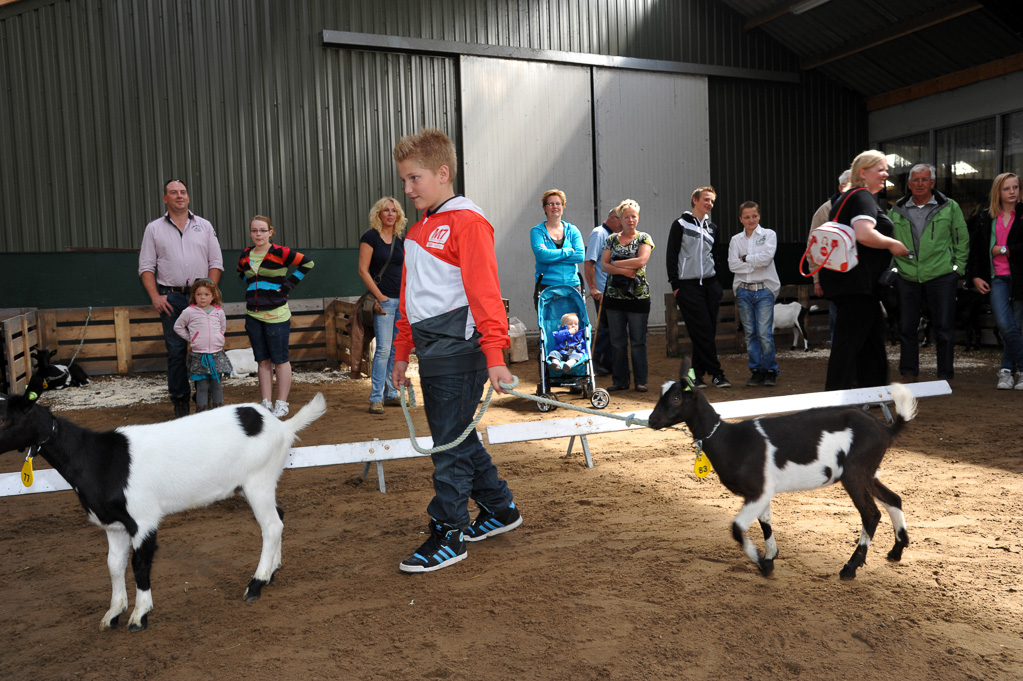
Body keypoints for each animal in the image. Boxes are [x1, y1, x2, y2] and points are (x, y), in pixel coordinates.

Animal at [0, 378, 323, 629]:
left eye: (4, 417)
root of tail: (282, 427)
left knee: (271, 525)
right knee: (279, 516)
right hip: (256, 483)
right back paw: (272, 571)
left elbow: (139, 563)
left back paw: (256, 583)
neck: (99, 459)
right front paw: (113, 613)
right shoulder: (114, 524)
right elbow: (114, 564)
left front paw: (139, 615)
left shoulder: (143, 518)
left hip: (258, 480)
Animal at [646, 355, 920, 576]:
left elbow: (737, 528)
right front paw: (770, 557)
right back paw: (896, 551)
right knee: (893, 498)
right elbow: (765, 522)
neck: (729, 439)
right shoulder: (761, 492)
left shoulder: (758, 491)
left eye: (676, 397)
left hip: (854, 473)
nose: (651, 420)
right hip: (867, 471)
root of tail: (886, 429)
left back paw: (850, 568)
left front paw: (761, 563)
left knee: (871, 514)